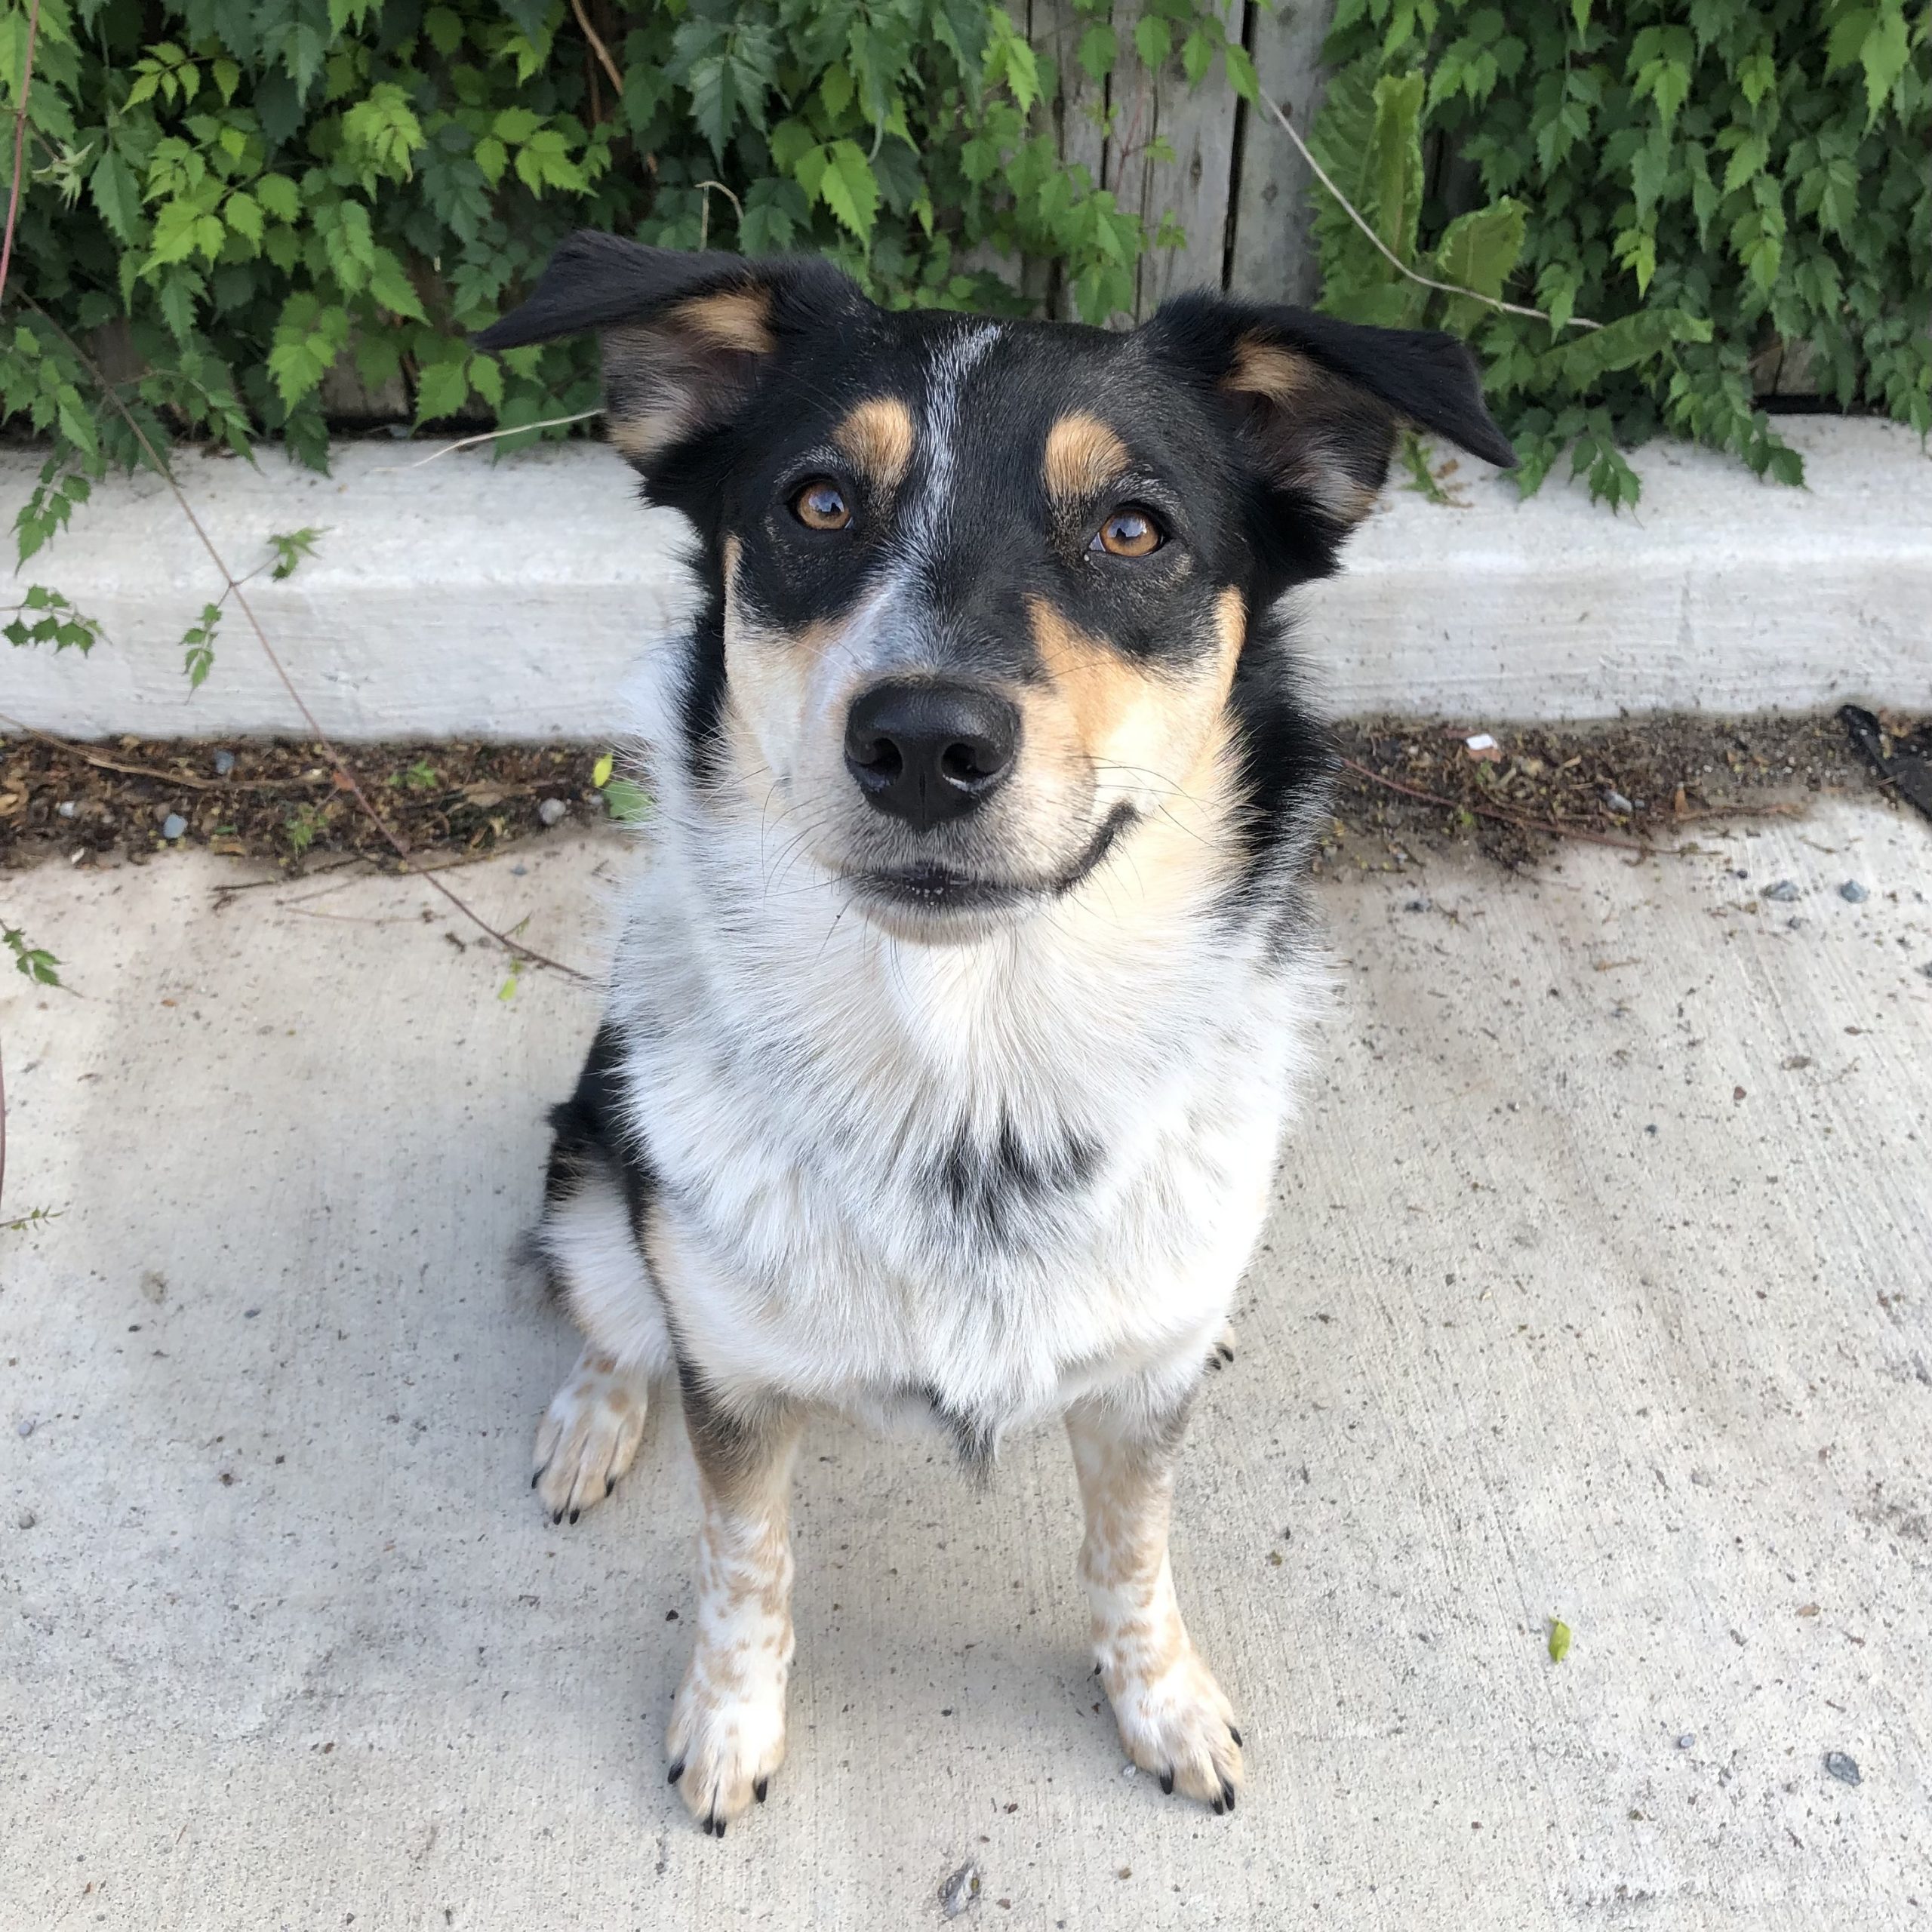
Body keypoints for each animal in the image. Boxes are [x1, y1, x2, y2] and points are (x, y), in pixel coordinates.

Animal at [475, 233, 1512, 1836]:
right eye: (819, 502)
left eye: (1136, 529)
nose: (922, 742)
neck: (970, 1078)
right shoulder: (732, 1380)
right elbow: (741, 1559)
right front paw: (729, 1725)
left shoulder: (1145, 1391)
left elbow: (1132, 1553)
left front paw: (1165, 1704)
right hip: (596, 1154)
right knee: (608, 1303)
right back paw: (593, 1419)